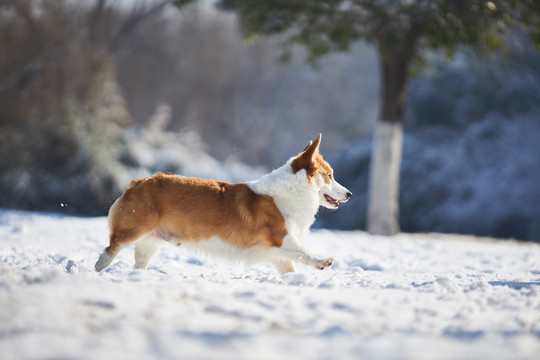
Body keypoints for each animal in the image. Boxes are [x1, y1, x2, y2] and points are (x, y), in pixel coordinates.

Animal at [95, 134, 352, 274]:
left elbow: (290, 268)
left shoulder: (277, 253)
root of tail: (137, 181)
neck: (294, 190)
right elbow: (304, 251)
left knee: (138, 263)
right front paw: (322, 261)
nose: (349, 194)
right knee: (112, 247)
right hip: (132, 230)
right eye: (330, 176)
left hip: (151, 242)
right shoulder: (282, 238)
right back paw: (99, 265)